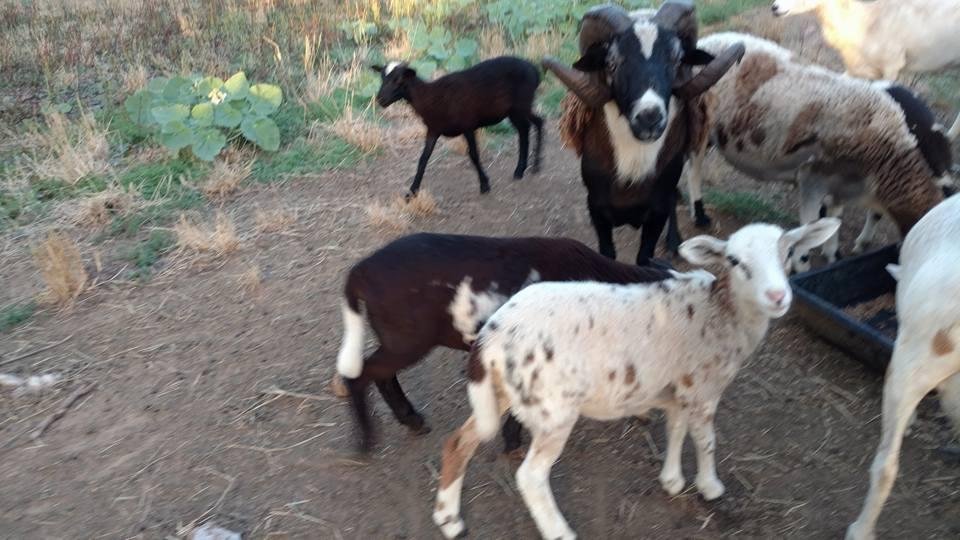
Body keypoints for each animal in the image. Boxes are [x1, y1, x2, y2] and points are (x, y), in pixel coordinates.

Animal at [335, 232, 673, 454]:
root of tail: (361, 271)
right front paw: (513, 443)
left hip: (396, 339)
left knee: (381, 374)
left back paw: (411, 420)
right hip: (407, 340)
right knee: (361, 374)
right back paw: (367, 441)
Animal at [371, 56, 544, 197]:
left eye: (399, 80)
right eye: (382, 78)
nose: (380, 99)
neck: (429, 97)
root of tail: (534, 69)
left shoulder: (468, 125)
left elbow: (474, 155)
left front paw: (484, 185)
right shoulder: (433, 130)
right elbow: (423, 159)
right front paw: (412, 192)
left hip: (520, 106)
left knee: (526, 128)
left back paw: (525, 168)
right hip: (519, 108)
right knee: (535, 123)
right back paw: (529, 167)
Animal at [431, 217, 841, 540]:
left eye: (788, 252)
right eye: (734, 261)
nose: (778, 296)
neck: (722, 313)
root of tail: (493, 334)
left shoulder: (678, 386)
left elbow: (676, 428)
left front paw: (672, 479)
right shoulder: (703, 388)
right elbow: (705, 439)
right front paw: (709, 486)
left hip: (503, 393)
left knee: (459, 442)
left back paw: (448, 518)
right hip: (552, 410)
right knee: (531, 477)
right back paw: (558, 531)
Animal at [542, 1, 745, 264]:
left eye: (678, 60)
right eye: (611, 63)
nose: (650, 117)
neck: (633, 163)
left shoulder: (656, 211)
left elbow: (644, 257)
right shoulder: (596, 208)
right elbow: (607, 254)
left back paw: (674, 241)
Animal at [684, 32, 951, 272]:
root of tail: (709, 39)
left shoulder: (841, 188)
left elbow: (833, 223)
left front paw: (834, 256)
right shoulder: (812, 179)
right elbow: (809, 229)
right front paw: (802, 266)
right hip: (700, 119)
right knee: (694, 166)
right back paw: (699, 214)